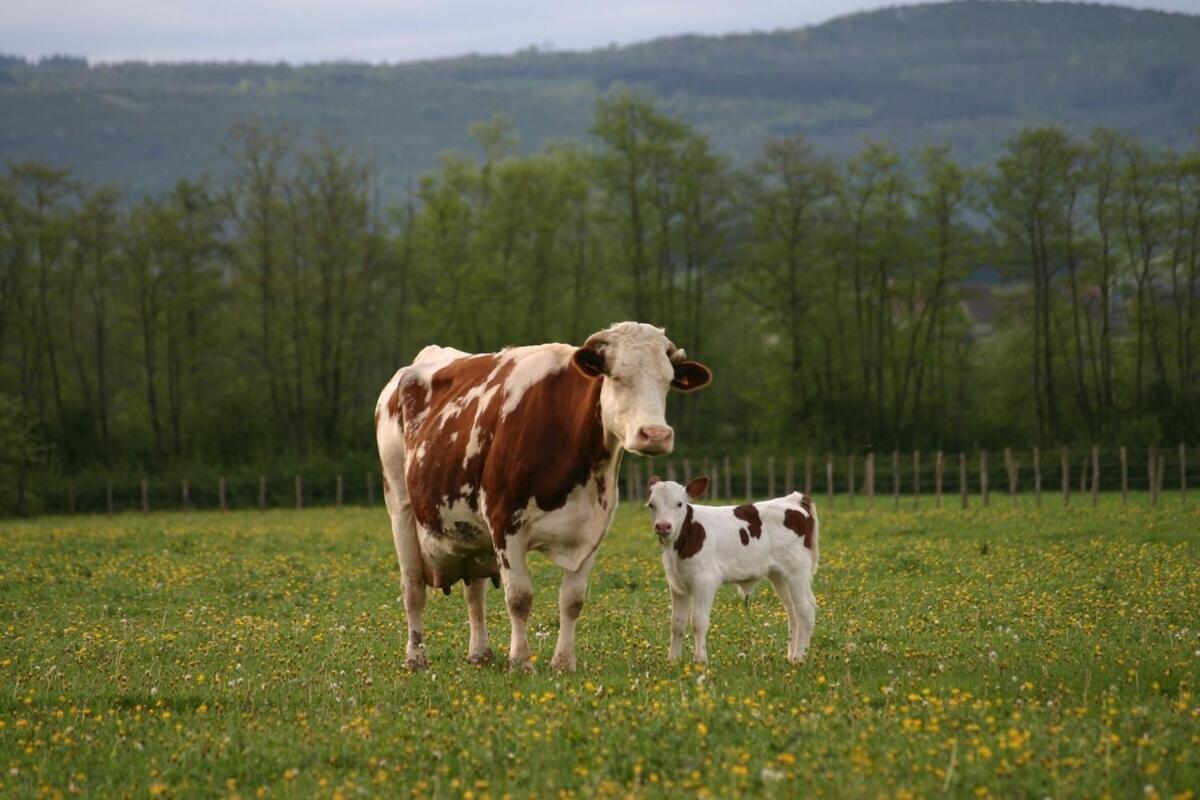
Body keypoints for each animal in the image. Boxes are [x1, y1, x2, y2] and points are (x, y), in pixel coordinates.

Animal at [374, 321, 710, 671]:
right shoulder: (504, 522)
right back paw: (415, 658)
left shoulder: (593, 530)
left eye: (668, 381)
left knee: (474, 592)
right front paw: (521, 662)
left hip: (468, 531)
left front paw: (563, 663)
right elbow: (520, 597)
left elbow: (573, 600)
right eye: (617, 376)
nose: (655, 435)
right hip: (400, 504)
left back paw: (480, 654)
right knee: (413, 588)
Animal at [648, 474, 816, 662]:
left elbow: (698, 621)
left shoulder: (705, 581)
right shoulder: (677, 584)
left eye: (679, 504)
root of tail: (793, 499)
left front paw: (700, 660)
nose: (663, 526)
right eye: (651, 505)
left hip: (797, 570)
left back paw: (799, 657)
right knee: (791, 609)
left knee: (805, 607)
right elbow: (677, 623)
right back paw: (791, 656)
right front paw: (672, 661)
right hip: (779, 575)